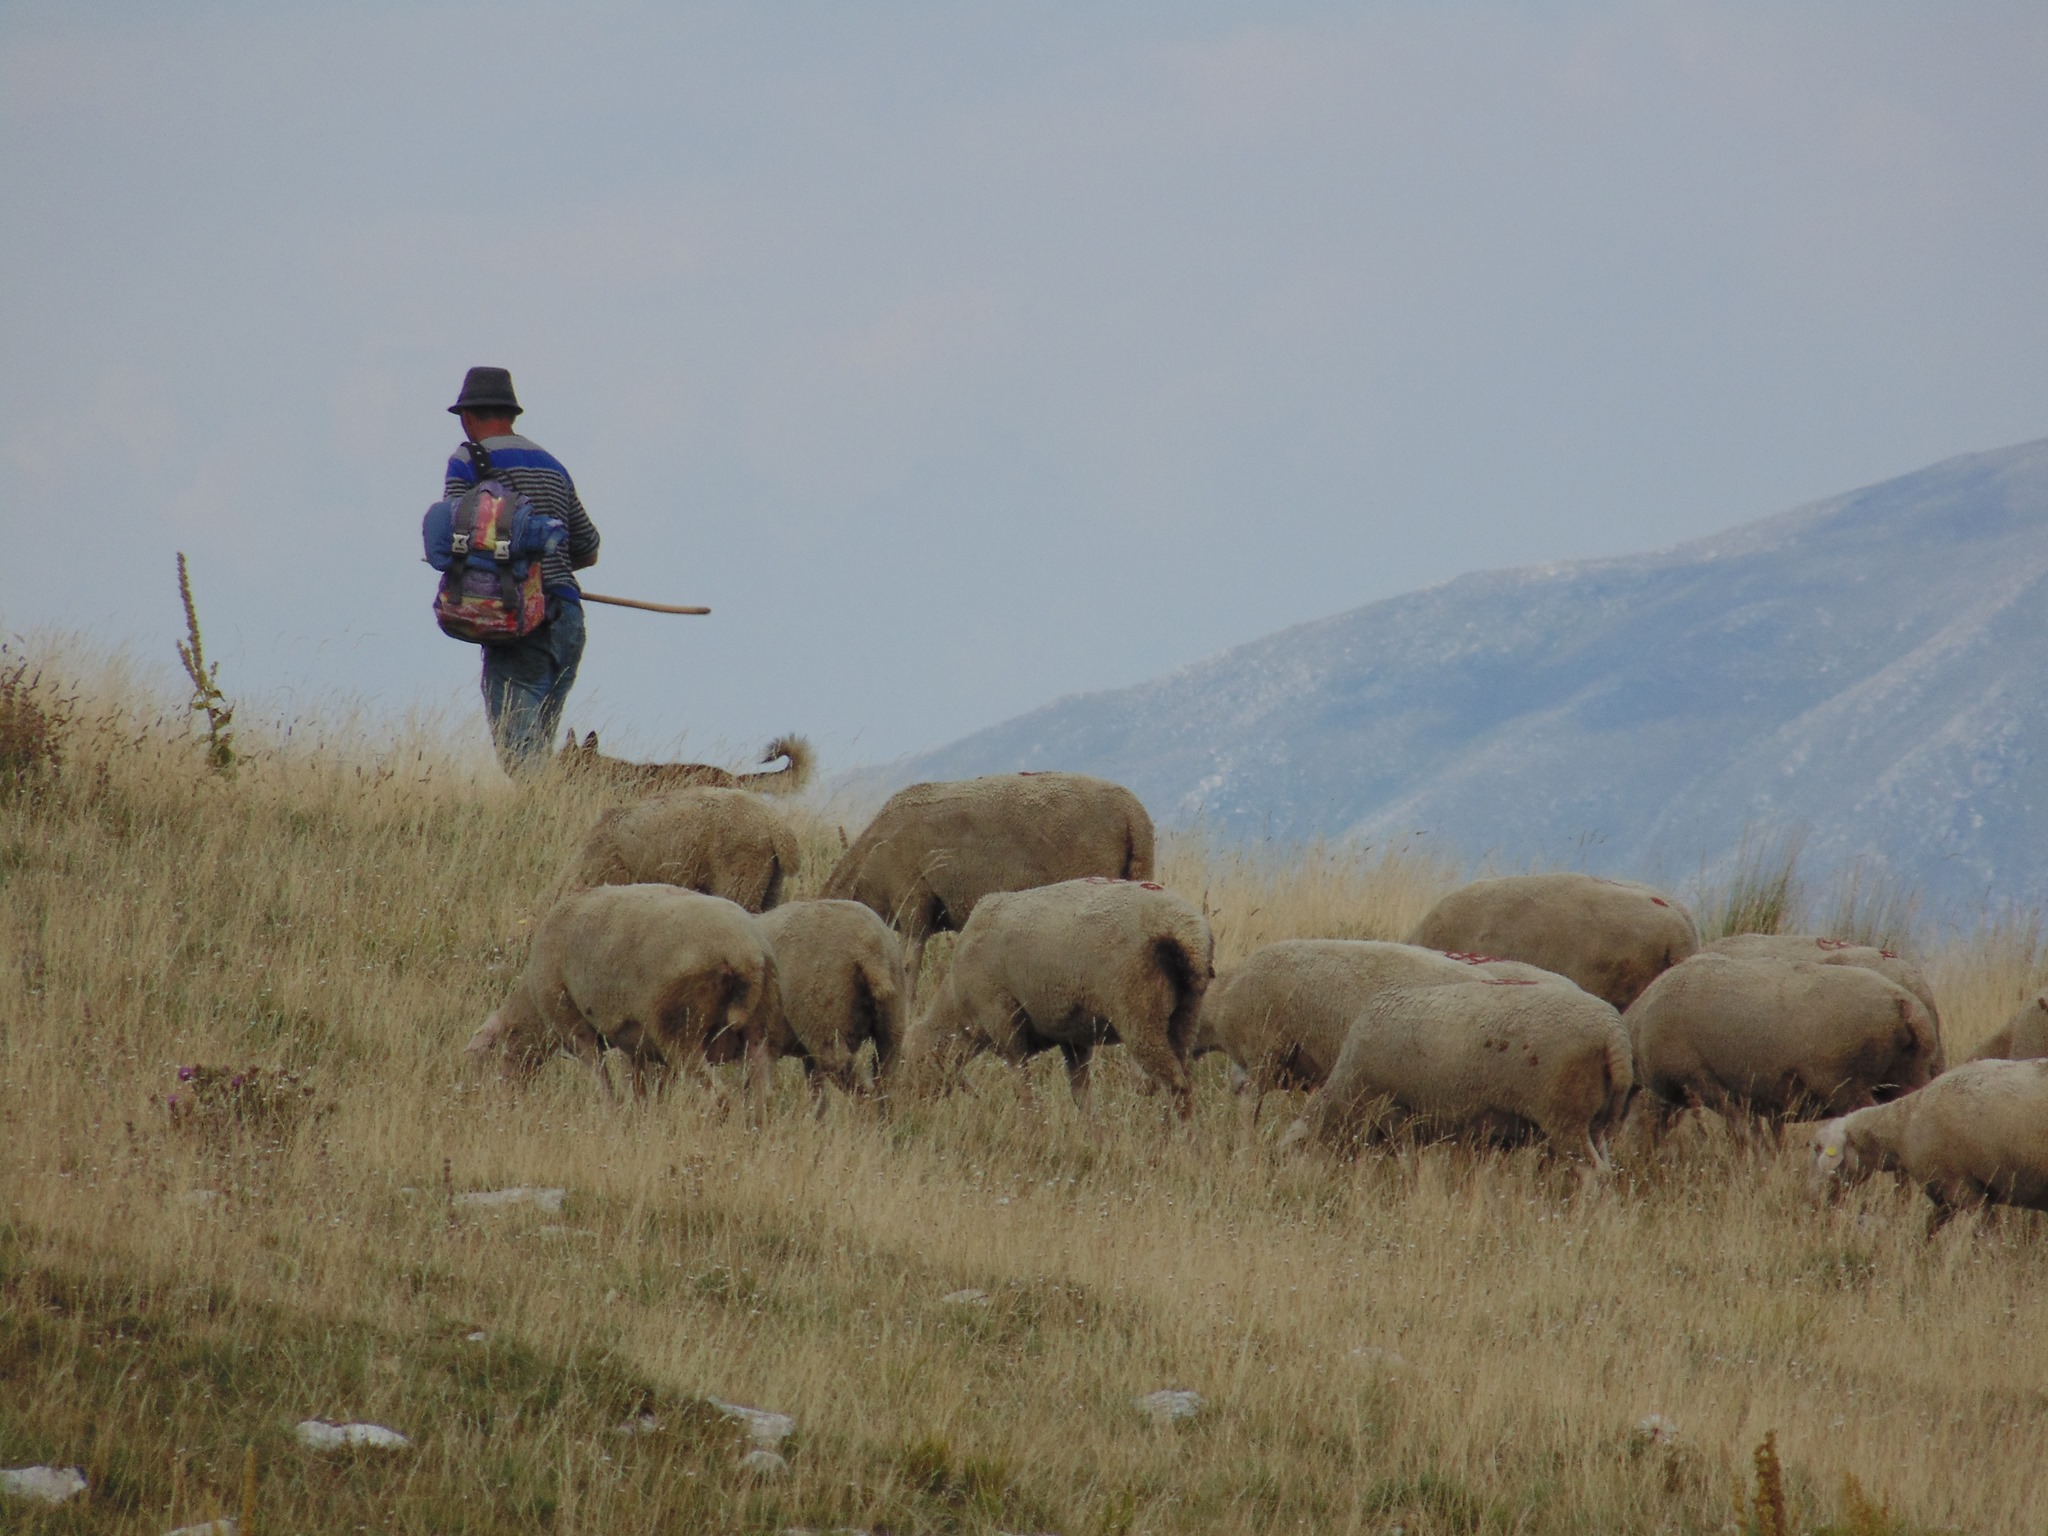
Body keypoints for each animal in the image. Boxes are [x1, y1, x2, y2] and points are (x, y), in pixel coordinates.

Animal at [465, 883, 789, 1109]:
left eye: (483, 1059)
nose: (487, 1106)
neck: (533, 1008)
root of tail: (744, 951)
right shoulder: (635, 1041)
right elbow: (639, 1086)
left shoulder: (574, 1025)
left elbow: (603, 1080)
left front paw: (613, 1113)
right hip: (760, 1024)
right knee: (764, 1096)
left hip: (677, 1028)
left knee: (719, 1096)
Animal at [897, 877, 1212, 1120]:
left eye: (910, 1064)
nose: (906, 1111)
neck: (958, 1004)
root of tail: (1186, 930)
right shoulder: (1075, 1038)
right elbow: (1082, 1096)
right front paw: (1095, 1140)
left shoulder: (1004, 1024)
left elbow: (1024, 1094)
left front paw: (1032, 1135)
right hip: (1185, 1014)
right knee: (1184, 1079)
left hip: (1138, 1015)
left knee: (1176, 1085)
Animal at [1279, 979, 1633, 1183]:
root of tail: (1612, 1032)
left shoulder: (1396, 1113)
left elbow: (1408, 1162)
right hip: (1596, 1122)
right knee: (1605, 1170)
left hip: (1564, 1116)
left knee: (1593, 1173)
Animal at [1625, 952, 1939, 1143]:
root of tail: (1904, 1003)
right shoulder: (1746, 1098)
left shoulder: (1704, 1083)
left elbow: (1742, 1138)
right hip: (1906, 1078)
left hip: (1845, 1086)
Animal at [1807, 1058, 2048, 1234]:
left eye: (1819, 1148)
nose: (1814, 1202)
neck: (1902, 1127)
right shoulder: (1945, 1196)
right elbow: (1926, 1231)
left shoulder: (1965, 1191)